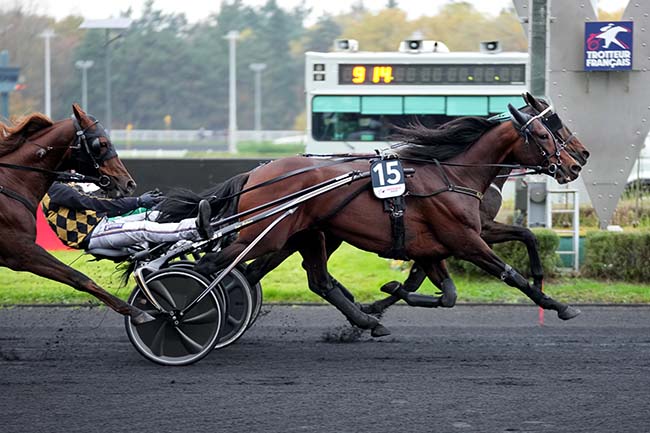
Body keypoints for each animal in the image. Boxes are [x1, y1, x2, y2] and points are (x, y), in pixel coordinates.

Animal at [0, 104, 153, 324]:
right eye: (102, 143)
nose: (129, 183)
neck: (11, 181)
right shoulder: (22, 251)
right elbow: (80, 278)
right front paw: (138, 312)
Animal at [159, 103, 580, 336]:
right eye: (545, 133)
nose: (575, 163)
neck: (449, 175)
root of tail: (257, 172)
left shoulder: (438, 245)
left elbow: (448, 292)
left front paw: (387, 295)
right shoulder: (465, 240)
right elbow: (509, 274)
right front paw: (558, 304)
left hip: (305, 235)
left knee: (313, 280)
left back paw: (366, 322)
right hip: (268, 234)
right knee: (216, 267)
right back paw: (181, 314)